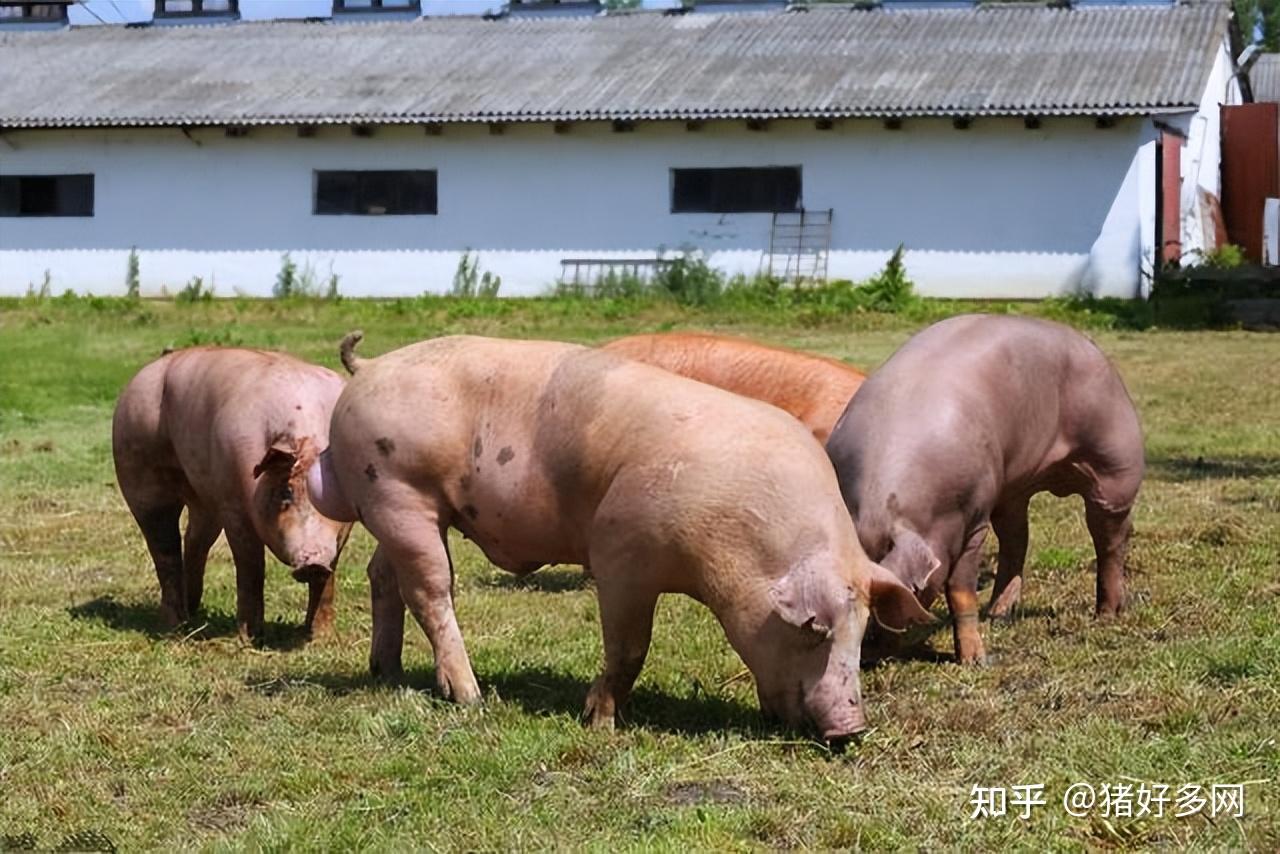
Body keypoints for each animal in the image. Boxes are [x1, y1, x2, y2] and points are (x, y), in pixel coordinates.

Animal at [112, 348, 353, 640]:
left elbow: (329, 575)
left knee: (194, 540)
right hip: (138, 473)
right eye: (285, 493)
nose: (313, 563)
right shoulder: (233, 504)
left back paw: (193, 610)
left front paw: (320, 638)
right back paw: (175, 627)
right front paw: (251, 638)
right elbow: (250, 566)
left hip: (204, 498)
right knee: (164, 548)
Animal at [824, 317, 1146, 665]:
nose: (865, 651)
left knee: (1111, 540)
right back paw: (998, 615)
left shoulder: (974, 518)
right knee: (1017, 541)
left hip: (1115, 468)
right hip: (1012, 491)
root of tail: (1093, 349)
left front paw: (974, 661)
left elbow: (960, 589)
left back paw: (1107, 615)